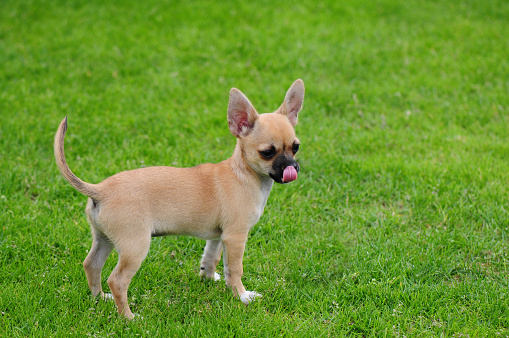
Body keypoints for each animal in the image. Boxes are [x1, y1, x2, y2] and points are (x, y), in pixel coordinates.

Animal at [53, 79, 304, 320]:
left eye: (295, 147)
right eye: (267, 152)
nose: (292, 167)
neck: (243, 174)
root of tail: (100, 190)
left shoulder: (218, 236)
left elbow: (211, 258)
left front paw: (208, 278)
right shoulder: (235, 237)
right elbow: (234, 269)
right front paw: (242, 296)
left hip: (104, 238)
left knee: (91, 265)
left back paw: (100, 299)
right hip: (135, 246)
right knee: (117, 280)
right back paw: (129, 317)